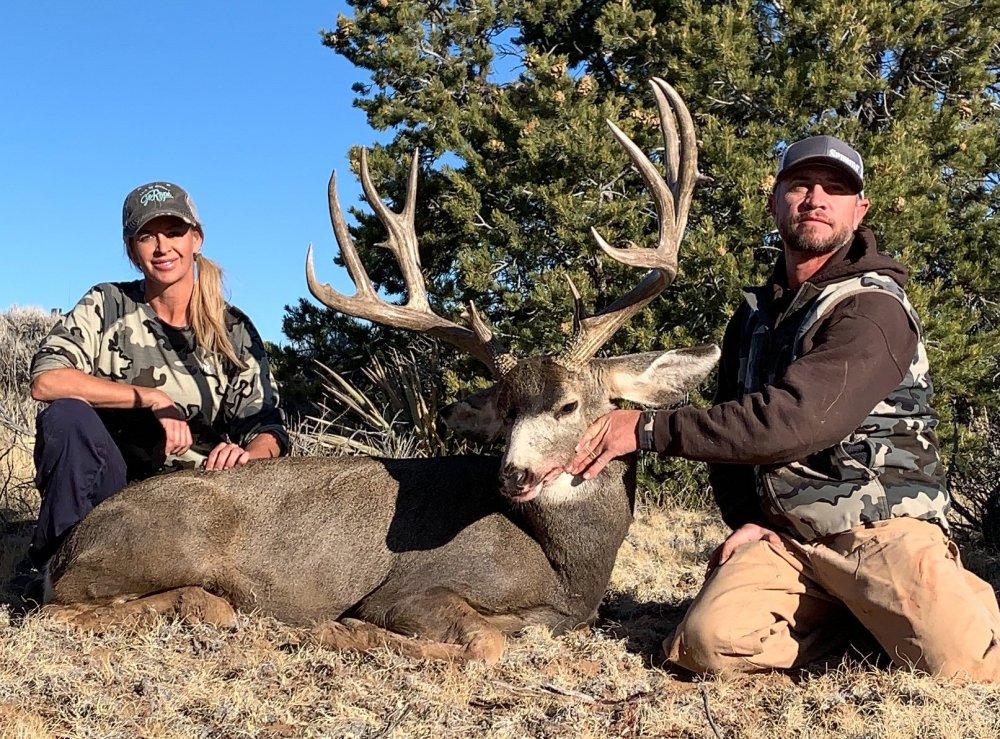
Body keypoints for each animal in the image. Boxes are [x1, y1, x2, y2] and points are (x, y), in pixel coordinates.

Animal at [42, 79, 719, 663]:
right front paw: (340, 631)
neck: (569, 570)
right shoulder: (416, 585)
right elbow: (486, 644)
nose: (514, 475)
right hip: (155, 548)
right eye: (505, 411)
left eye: (569, 404)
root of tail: (70, 544)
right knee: (59, 613)